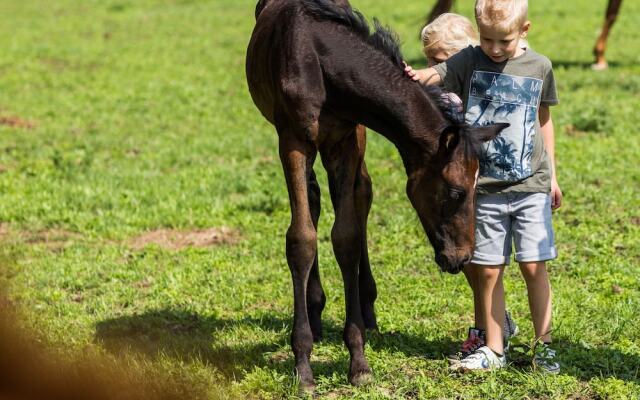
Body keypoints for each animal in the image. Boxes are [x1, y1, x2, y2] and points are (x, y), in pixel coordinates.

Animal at [245, 0, 504, 390]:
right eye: (457, 191)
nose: (461, 257)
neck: (320, 54)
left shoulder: (347, 135)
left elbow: (347, 236)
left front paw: (358, 360)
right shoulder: (292, 139)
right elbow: (302, 239)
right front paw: (303, 364)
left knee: (360, 194)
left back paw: (365, 308)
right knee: (314, 200)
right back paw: (316, 312)